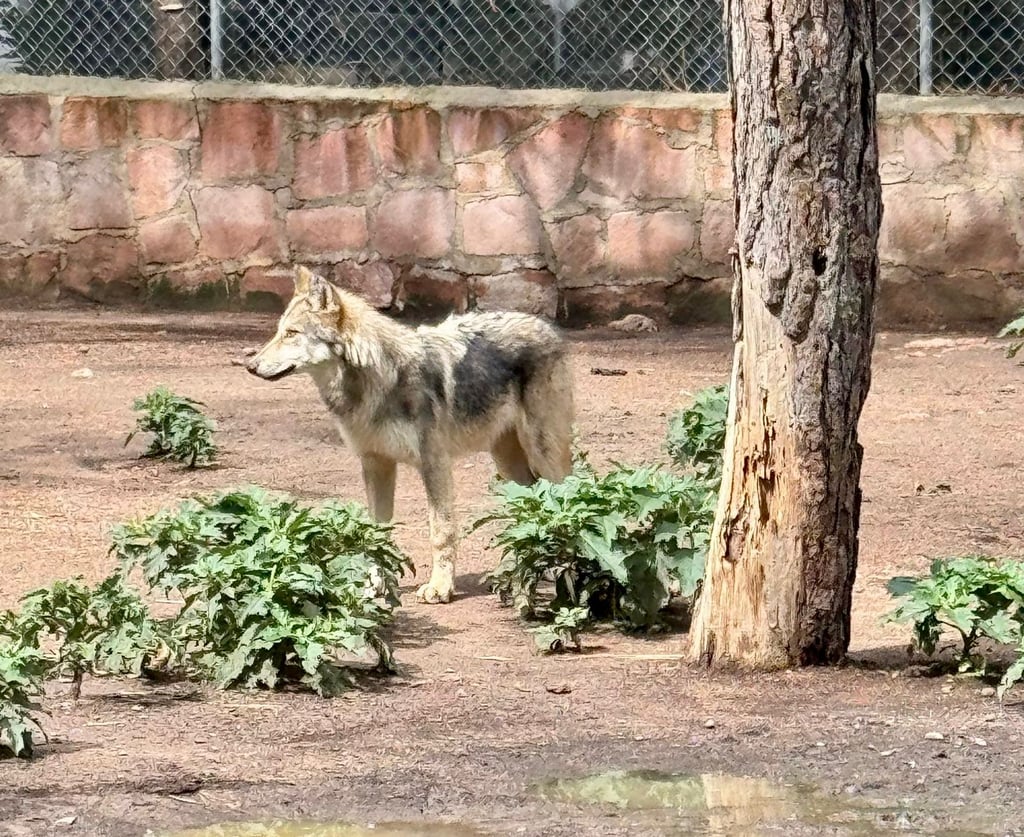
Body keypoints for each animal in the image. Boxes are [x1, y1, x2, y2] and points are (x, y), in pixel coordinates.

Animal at [246, 266, 575, 604]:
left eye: (292, 333)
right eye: (279, 331)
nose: (251, 365)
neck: (377, 381)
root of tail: (546, 326)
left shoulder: (434, 463)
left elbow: (441, 531)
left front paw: (440, 587)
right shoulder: (375, 463)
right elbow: (375, 532)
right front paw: (374, 586)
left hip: (543, 453)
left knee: (568, 496)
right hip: (507, 462)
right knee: (530, 504)